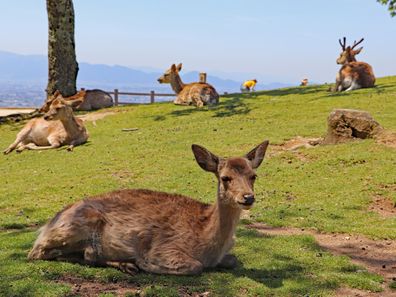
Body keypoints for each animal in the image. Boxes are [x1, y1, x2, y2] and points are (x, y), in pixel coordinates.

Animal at [27, 140, 270, 274]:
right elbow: (195, 266)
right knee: (43, 253)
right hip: (75, 226)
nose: (248, 197)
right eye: (225, 178)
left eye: (253, 176)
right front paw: (144, 264)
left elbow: (234, 260)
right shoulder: (166, 248)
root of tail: (45, 227)